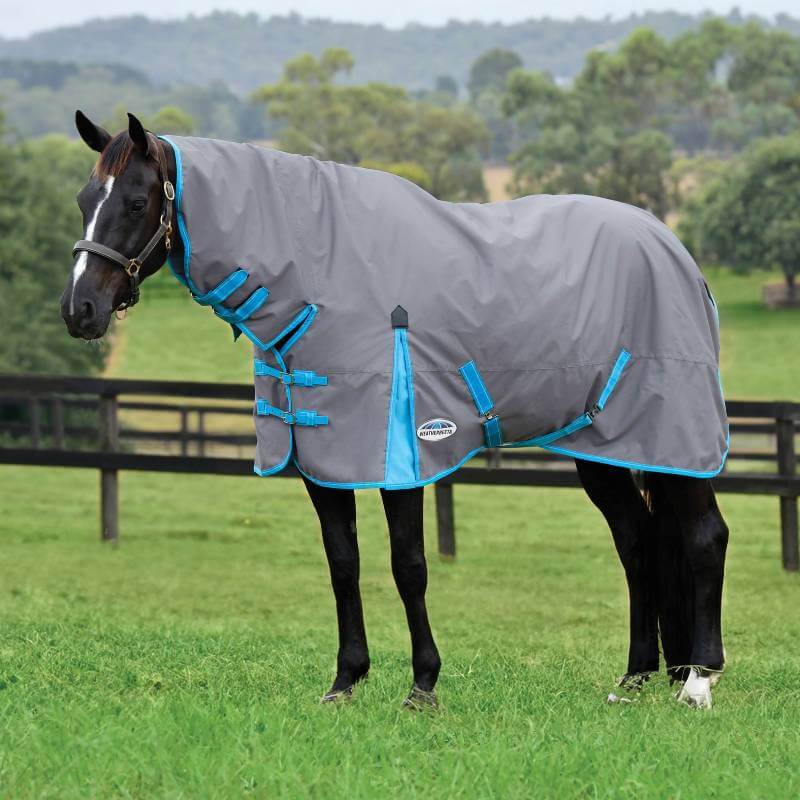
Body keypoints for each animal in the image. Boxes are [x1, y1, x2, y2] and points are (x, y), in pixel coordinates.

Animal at [60, 111, 729, 710]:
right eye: (85, 198)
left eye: (137, 202)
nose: (79, 309)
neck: (322, 276)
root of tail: (672, 247)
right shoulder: (324, 460)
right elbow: (344, 563)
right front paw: (345, 682)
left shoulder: (402, 452)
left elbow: (408, 565)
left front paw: (423, 687)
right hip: (604, 447)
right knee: (637, 543)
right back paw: (635, 680)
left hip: (678, 438)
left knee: (705, 537)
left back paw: (697, 682)